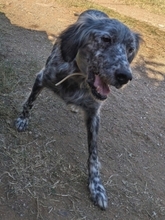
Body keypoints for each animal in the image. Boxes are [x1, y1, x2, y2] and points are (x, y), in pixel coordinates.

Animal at [15, 10, 141, 210]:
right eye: (106, 39)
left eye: (130, 49)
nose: (125, 76)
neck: (78, 78)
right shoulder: (42, 78)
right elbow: (29, 102)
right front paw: (22, 119)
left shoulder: (94, 113)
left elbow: (94, 155)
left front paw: (96, 186)